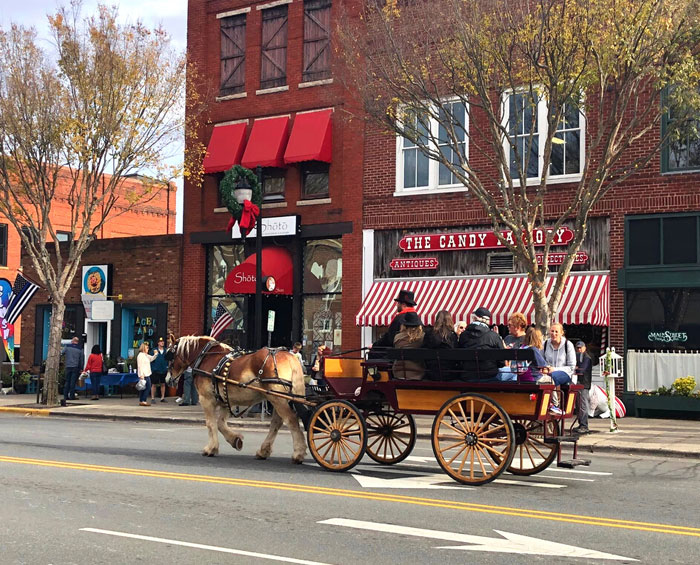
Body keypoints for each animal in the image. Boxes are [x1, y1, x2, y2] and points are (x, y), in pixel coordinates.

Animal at [165, 334, 308, 462]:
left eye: (170, 356)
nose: (167, 380)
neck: (206, 357)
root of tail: (290, 357)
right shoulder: (225, 400)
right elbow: (220, 423)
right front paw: (235, 440)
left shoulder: (206, 399)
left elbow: (211, 423)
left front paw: (211, 449)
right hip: (277, 398)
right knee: (277, 423)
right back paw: (263, 451)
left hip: (277, 399)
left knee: (291, 420)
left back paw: (298, 453)